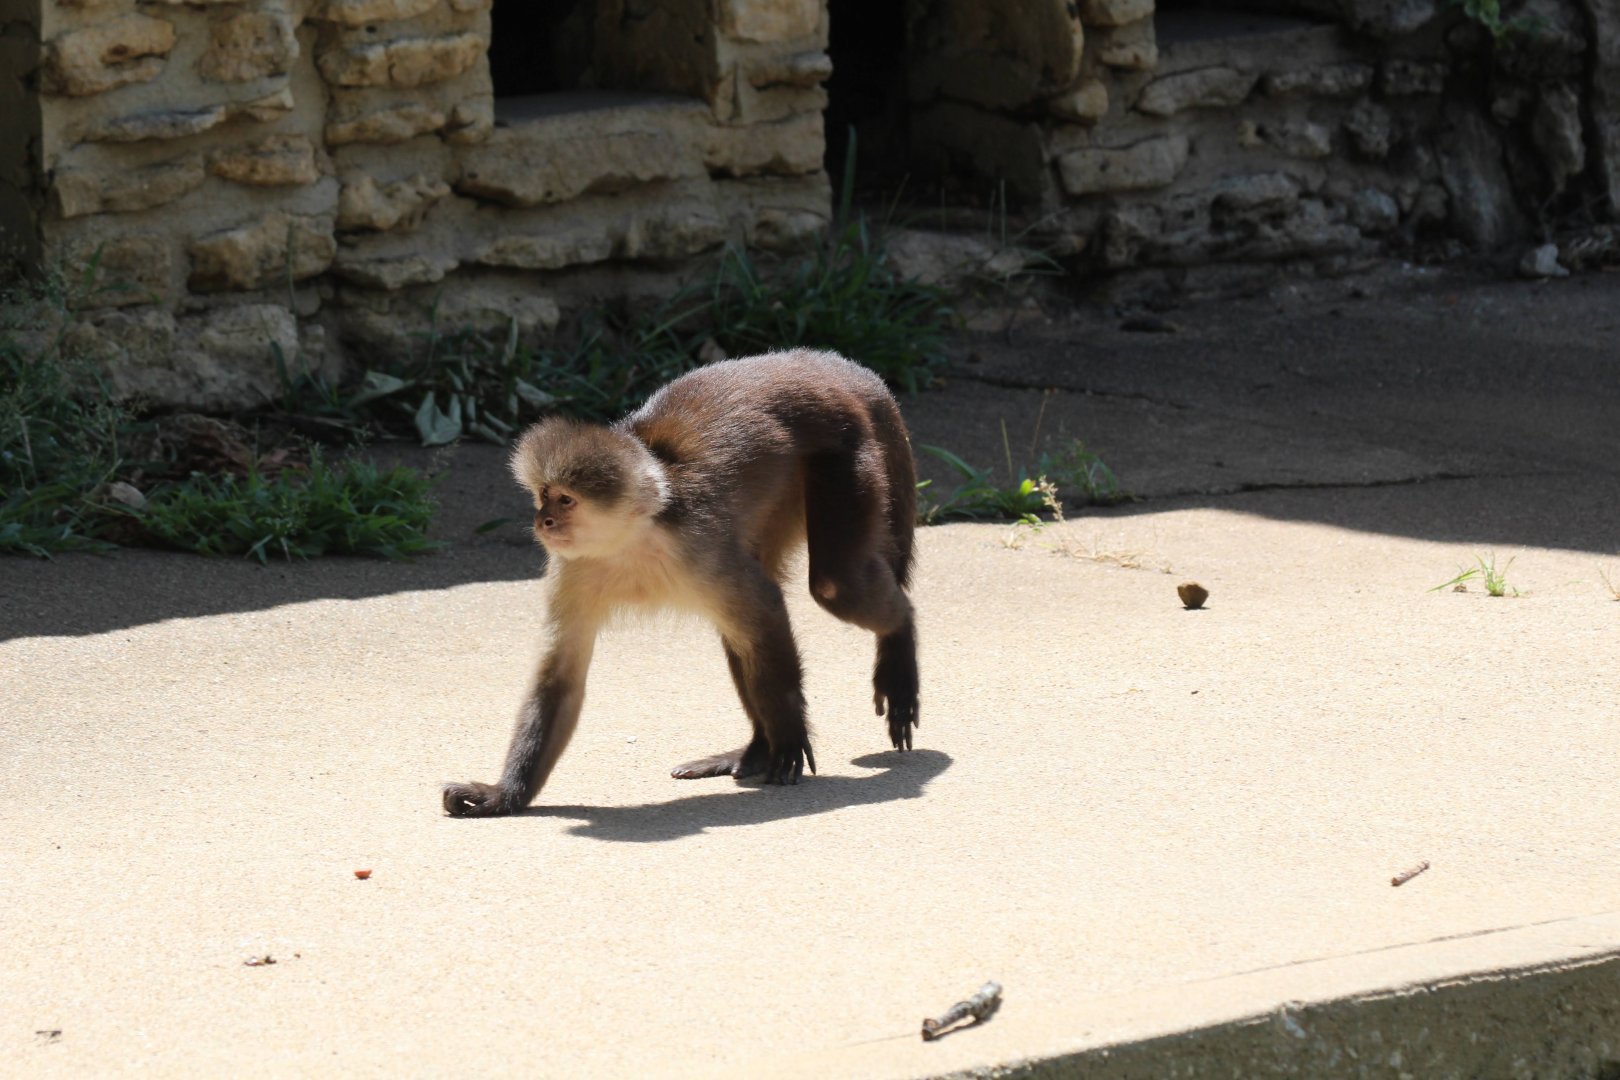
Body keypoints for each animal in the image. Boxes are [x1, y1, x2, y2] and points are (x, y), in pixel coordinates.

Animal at [441, 348, 920, 817]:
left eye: (566, 500)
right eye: (544, 496)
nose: (544, 521)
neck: (632, 540)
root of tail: (830, 368)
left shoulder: (698, 543)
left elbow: (766, 610)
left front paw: (788, 735)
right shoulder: (574, 567)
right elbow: (559, 676)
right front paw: (504, 794)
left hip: (844, 453)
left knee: (834, 586)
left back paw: (899, 638)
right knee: (741, 632)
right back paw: (755, 750)